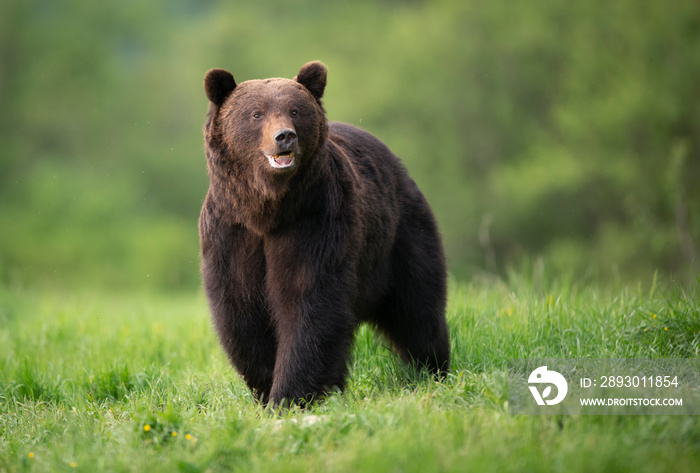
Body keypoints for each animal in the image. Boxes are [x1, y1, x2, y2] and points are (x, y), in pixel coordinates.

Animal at [198, 60, 448, 406]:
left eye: (295, 110)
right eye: (256, 113)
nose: (284, 136)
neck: (267, 211)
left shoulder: (314, 222)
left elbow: (309, 301)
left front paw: (290, 395)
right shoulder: (231, 233)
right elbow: (240, 311)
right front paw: (266, 386)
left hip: (402, 235)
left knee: (417, 306)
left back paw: (434, 367)